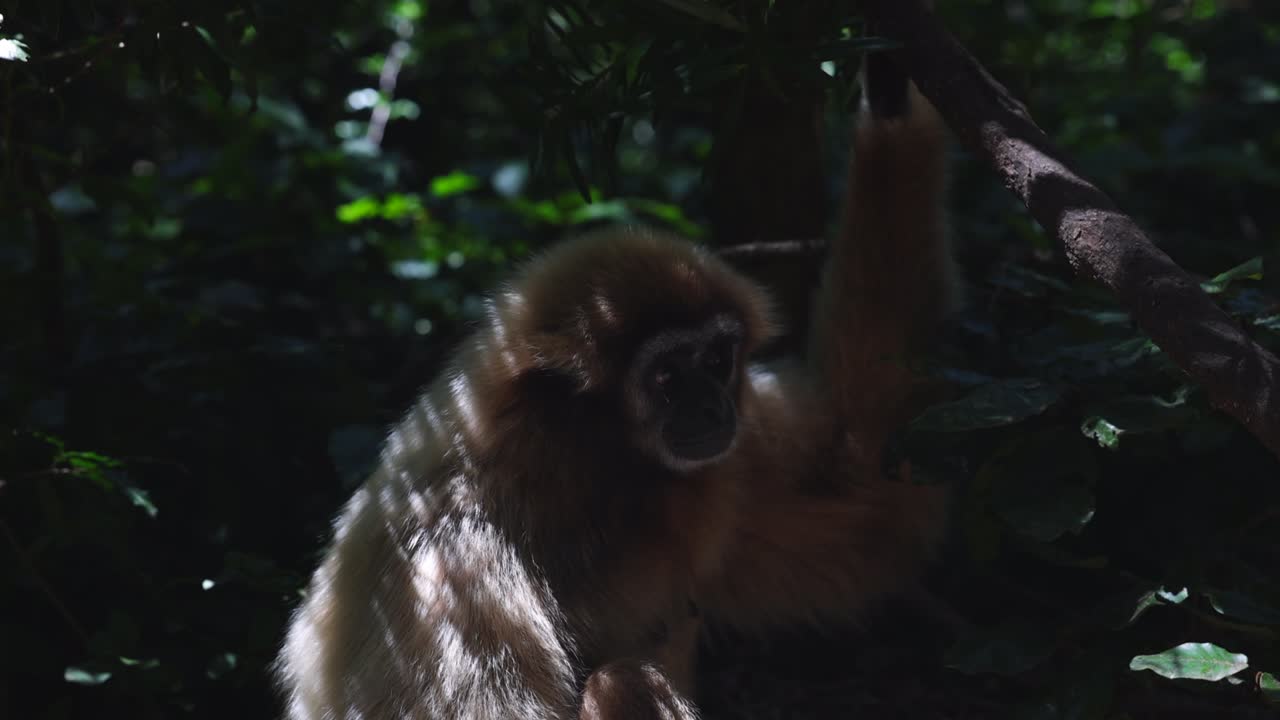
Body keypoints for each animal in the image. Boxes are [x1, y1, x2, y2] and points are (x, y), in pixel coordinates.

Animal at [274, 53, 958, 720]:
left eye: (717, 359)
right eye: (666, 376)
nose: (711, 405)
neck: (578, 483)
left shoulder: (727, 465)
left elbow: (871, 482)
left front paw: (893, 94)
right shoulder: (449, 563)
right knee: (622, 680)